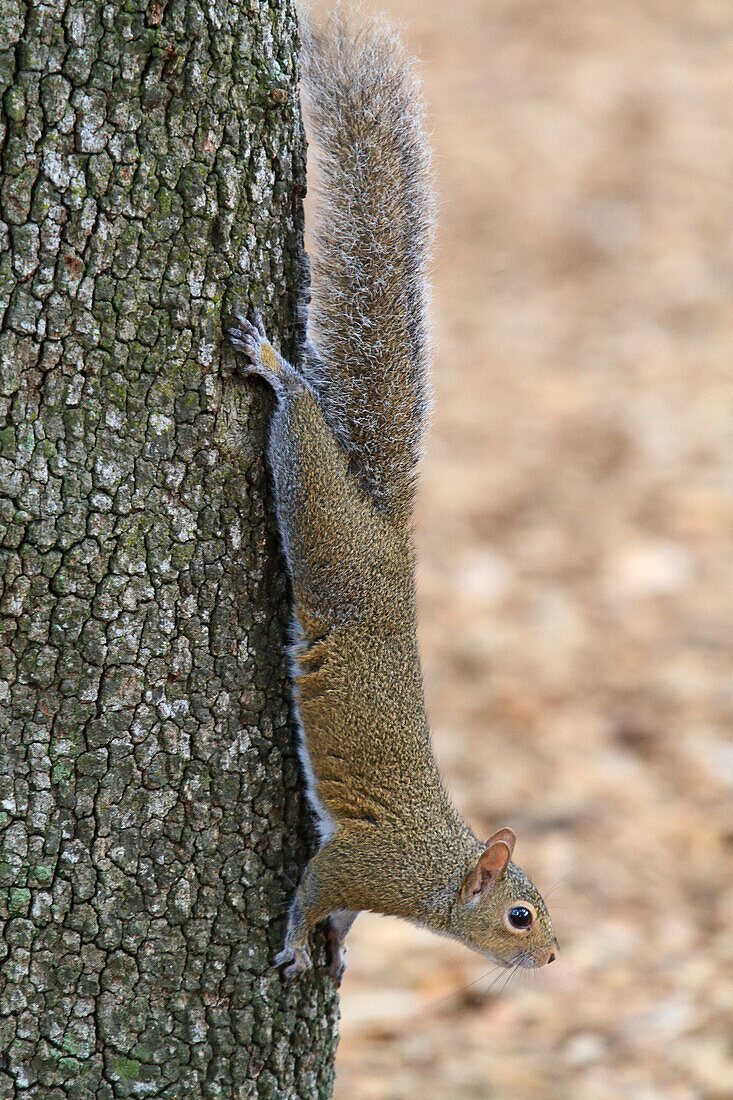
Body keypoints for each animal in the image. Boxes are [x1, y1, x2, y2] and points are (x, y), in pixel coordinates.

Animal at [225, 12, 556, 981]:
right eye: (520, 916)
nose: (553, 957)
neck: (438, 881)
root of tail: (388, 533)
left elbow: (338, 913)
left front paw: (335, 947)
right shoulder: (366, 859)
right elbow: (314, 886)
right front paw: (296, 945)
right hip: (322, 527)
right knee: (300, 443)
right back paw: (278, 371)